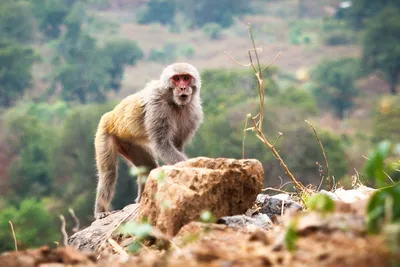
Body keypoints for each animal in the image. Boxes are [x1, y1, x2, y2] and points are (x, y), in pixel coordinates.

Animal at [94, 62, 203, 220]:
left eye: (186, 78)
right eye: (176, 79)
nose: (183, 87)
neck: (174, 102)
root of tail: (109, 115)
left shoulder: (193, 112)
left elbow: (176, 144)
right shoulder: (156, 106)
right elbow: (162, 144)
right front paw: (190, 166)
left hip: (131, 143)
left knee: (148, 166)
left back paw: (141, 200)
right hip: (104, 133)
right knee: (108, 173)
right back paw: (101, 210)